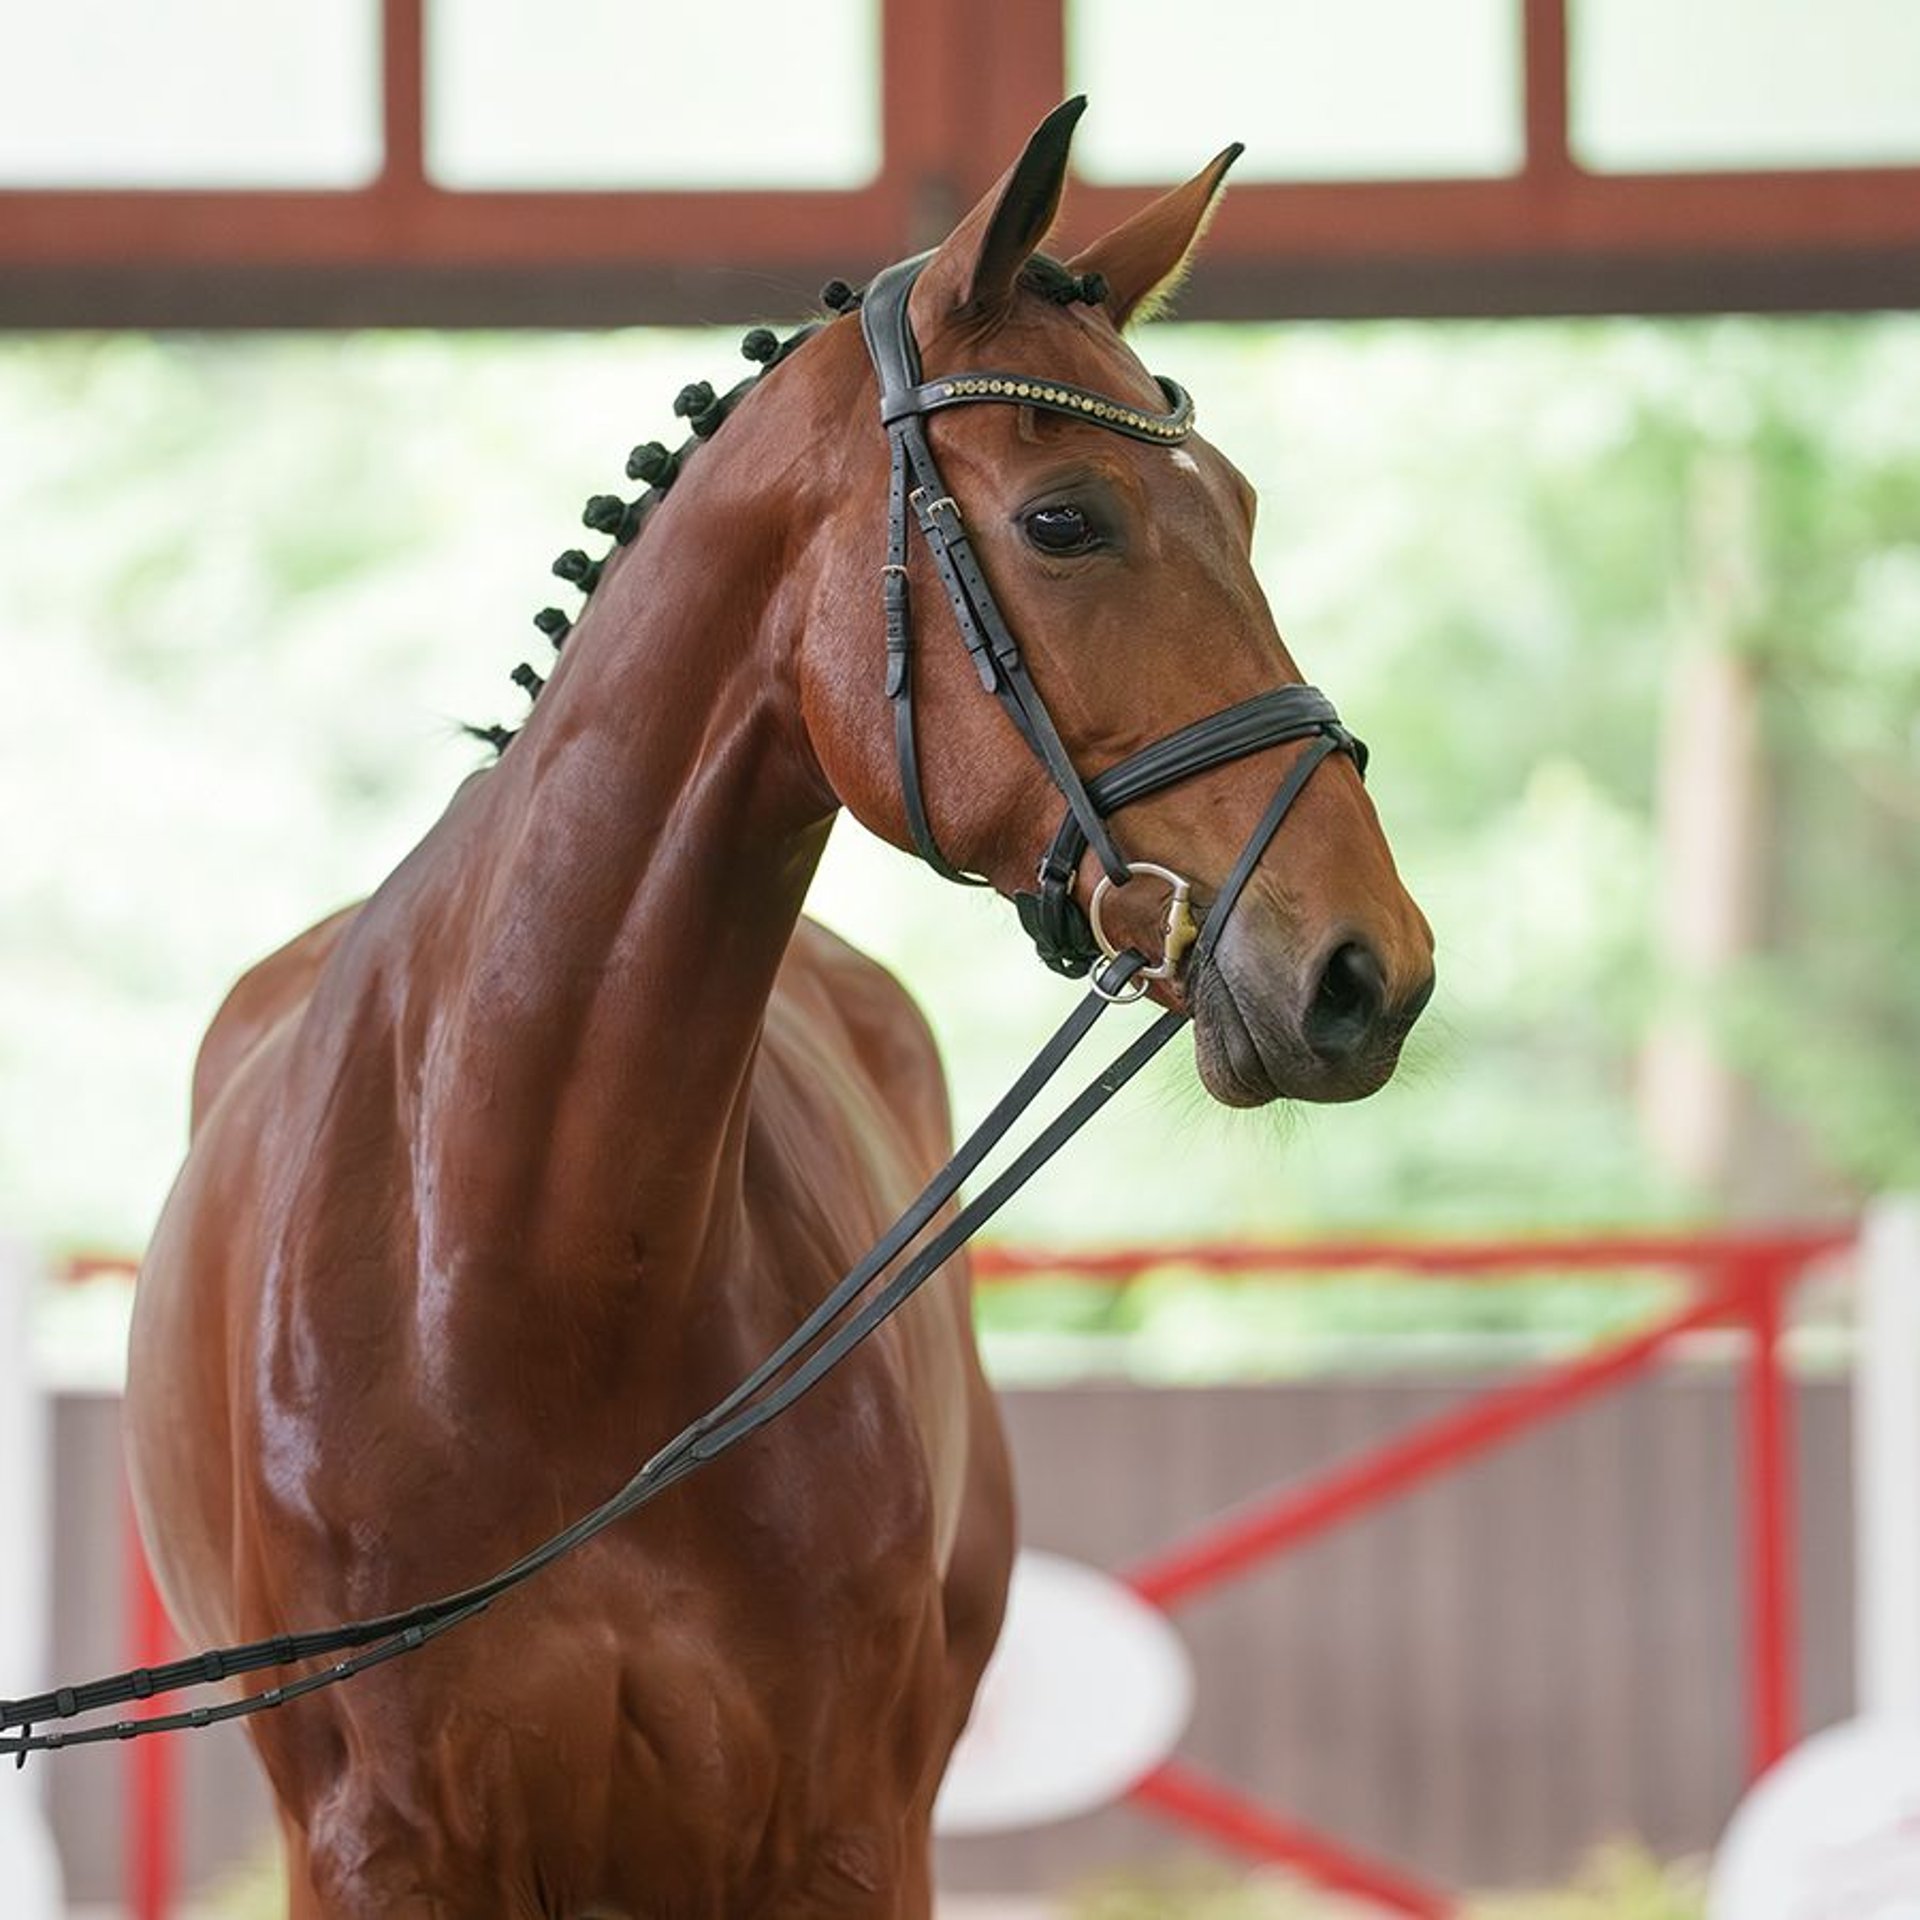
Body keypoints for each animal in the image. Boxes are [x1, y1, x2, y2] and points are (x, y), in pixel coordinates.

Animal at [123, 100, 1434, 1918]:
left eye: (1236, 503)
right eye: (1067, 521)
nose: (1368, 967)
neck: (533, 1282)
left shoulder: (840, 1835)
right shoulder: (379, 1853)